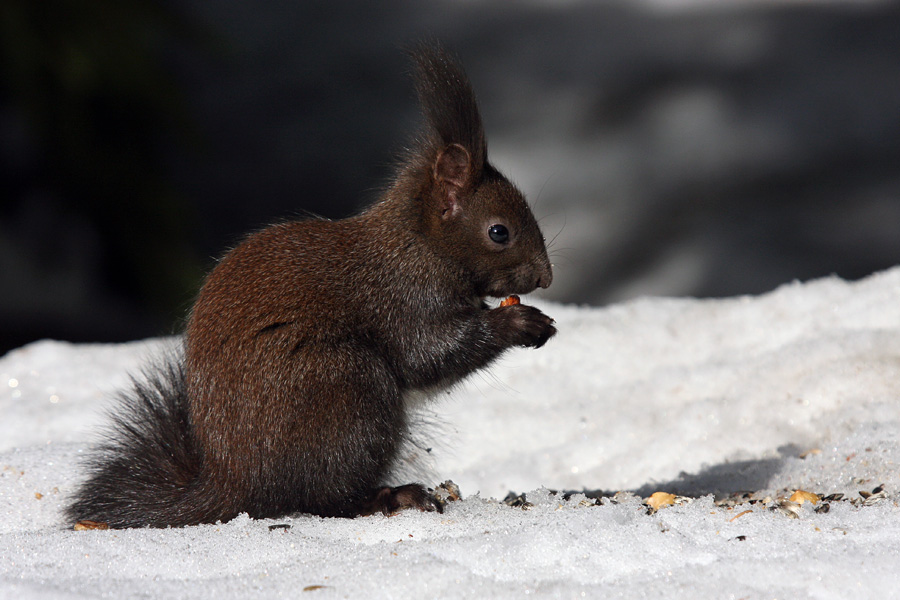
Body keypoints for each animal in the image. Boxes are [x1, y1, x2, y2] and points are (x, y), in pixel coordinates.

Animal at [65, 44, 556, 528]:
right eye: (499, 232)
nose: (545, 278)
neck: (419, 244)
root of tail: (234, 484)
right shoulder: (404, 298)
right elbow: (428, 355)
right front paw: (519, 322)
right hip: (347, 393)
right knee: (325, 498)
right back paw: (393, 497)